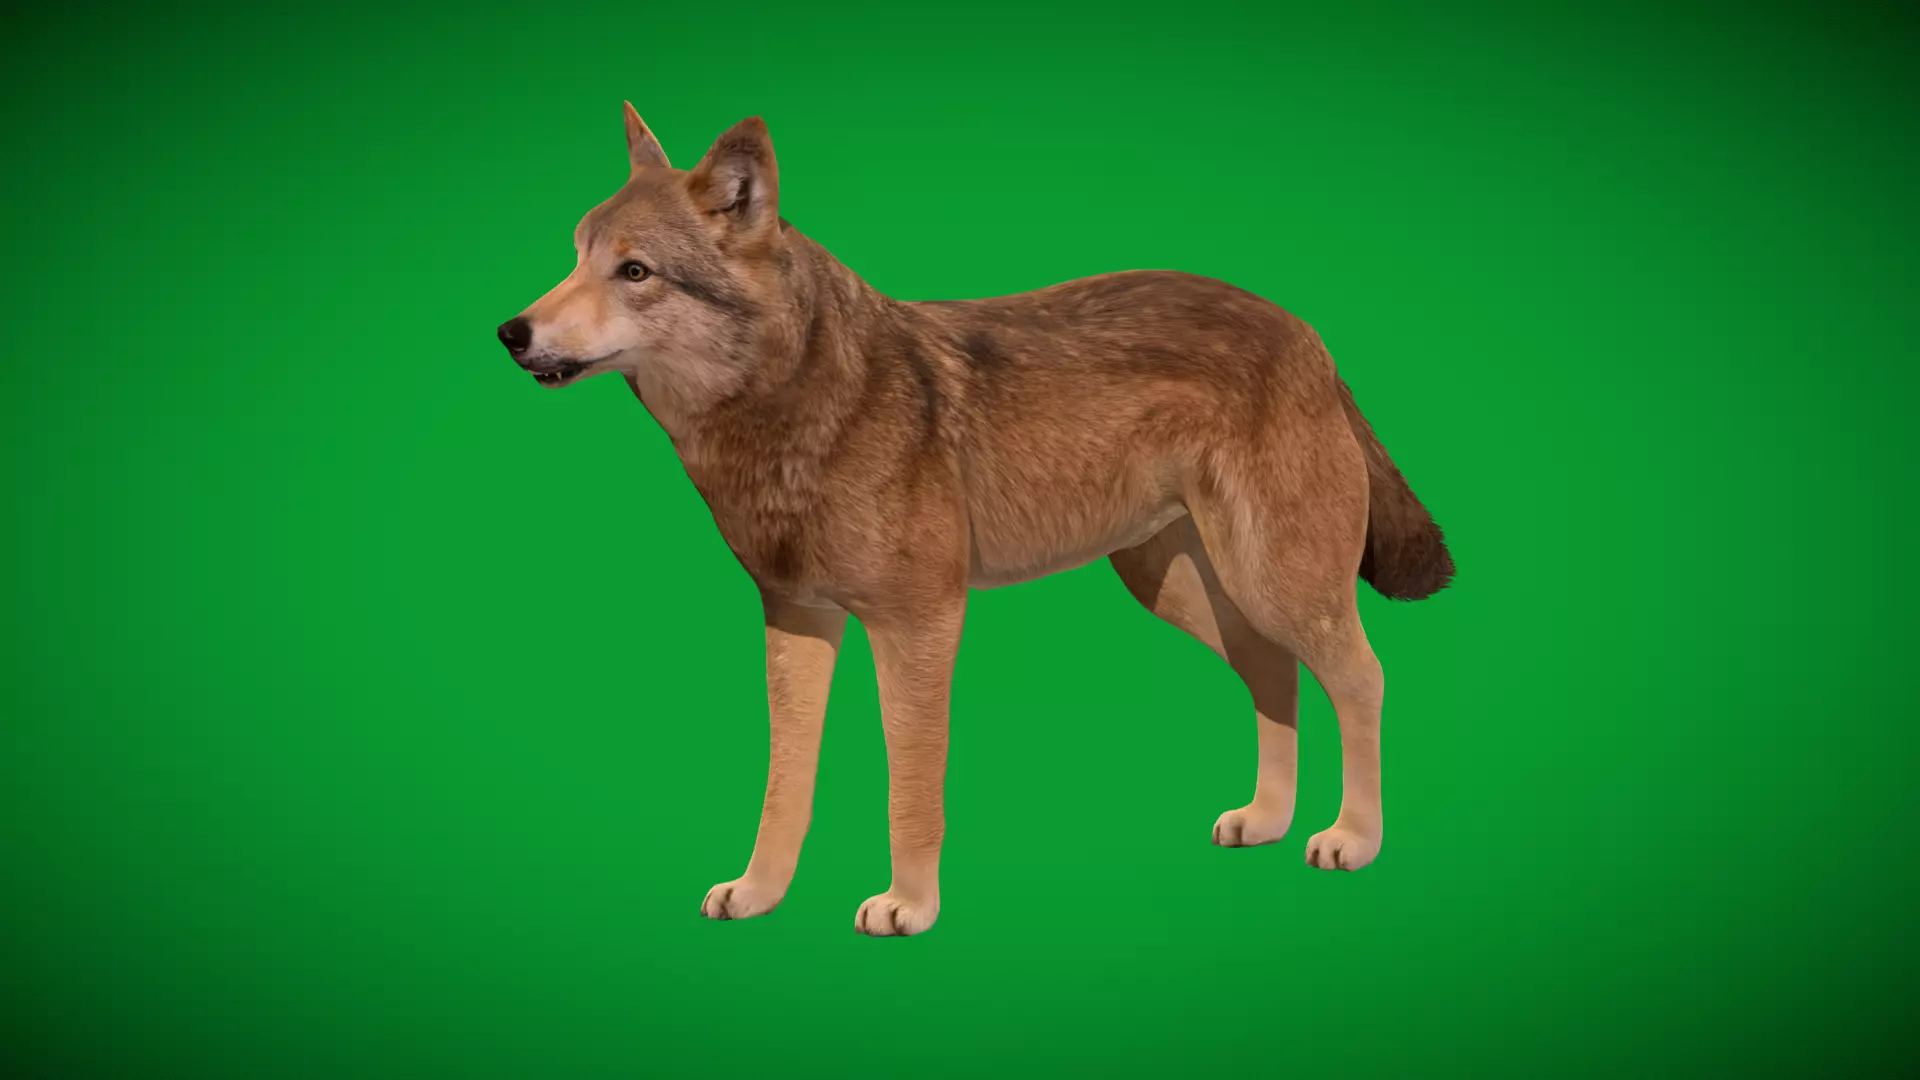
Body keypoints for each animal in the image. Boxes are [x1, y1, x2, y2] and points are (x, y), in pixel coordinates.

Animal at [495, 104, 1455, 937]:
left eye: (635, 272)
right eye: (574, 257)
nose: (511, 331)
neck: (798, 405)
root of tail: (1309, 336)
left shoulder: (919, 622)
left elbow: (911, 786)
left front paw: (908, 907)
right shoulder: (797, 622)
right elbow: (785, 785)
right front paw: (759, 893)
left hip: (1275, 584)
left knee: (1362, 679)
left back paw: (1352, 838)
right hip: (1192, 593)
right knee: (1275, 675)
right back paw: (1266, 818)